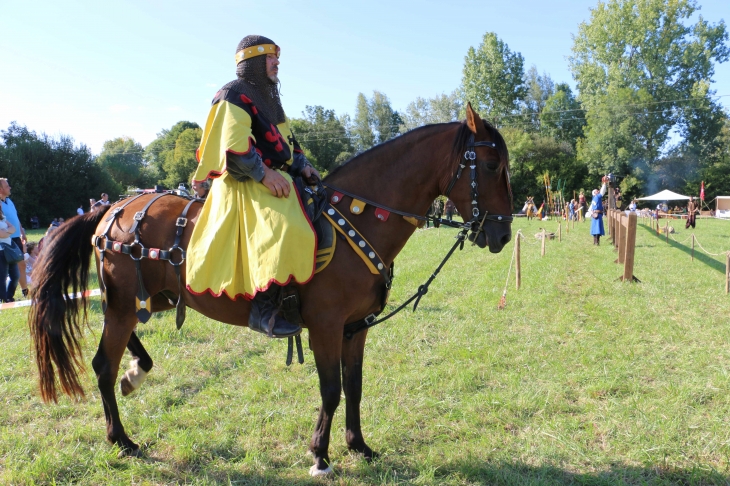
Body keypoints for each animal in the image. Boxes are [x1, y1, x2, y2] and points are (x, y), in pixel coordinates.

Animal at [29, 103, 512, 478]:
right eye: (491, 166)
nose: (503, 234)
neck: (357, 217)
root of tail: (114, 207)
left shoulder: (356, 327)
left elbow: (353, 386)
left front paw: (358, 445)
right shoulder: (325, 327)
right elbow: (331, 390)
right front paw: (320, 455)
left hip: (144, 301)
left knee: (122, 352)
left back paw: (137, 372)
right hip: (123, 306)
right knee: (102, 366)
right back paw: (122, 438)